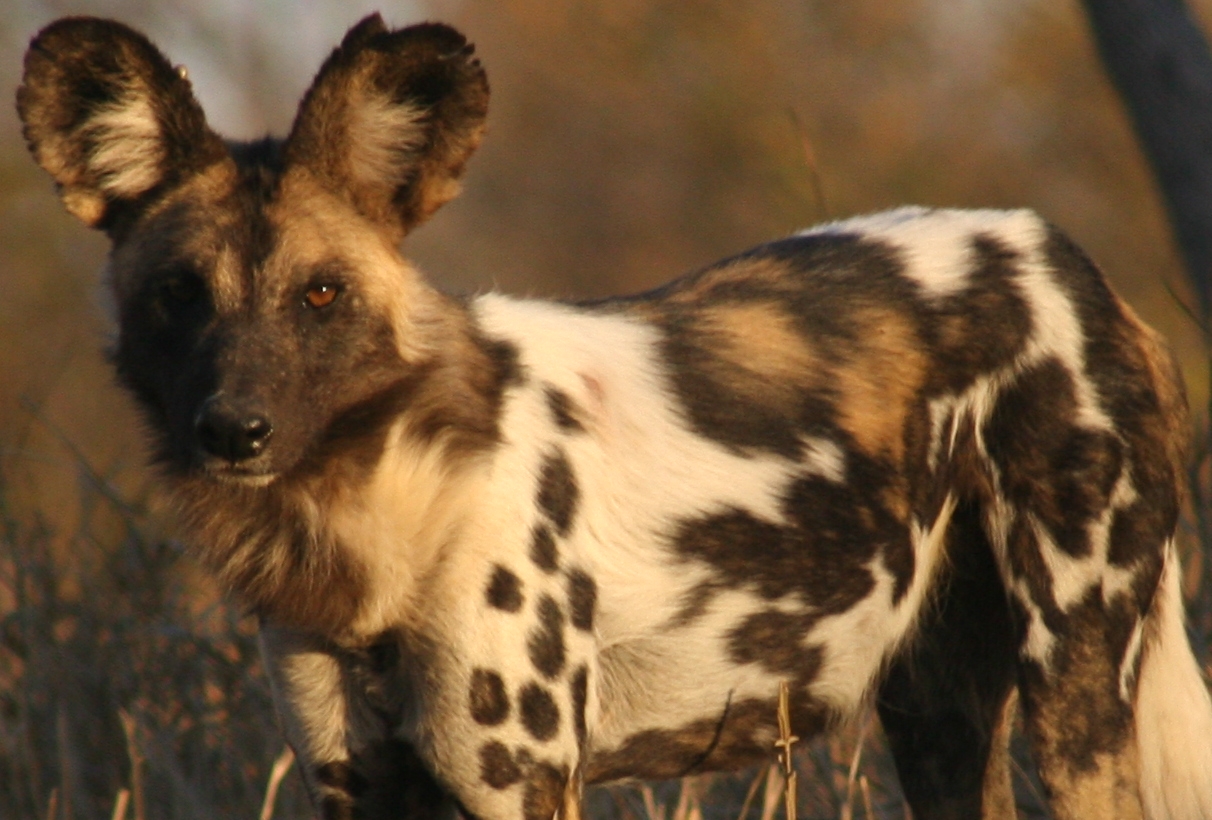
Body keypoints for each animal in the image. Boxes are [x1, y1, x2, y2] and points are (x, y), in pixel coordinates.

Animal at [16, 12, 1212, 818]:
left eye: (320, 295)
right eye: (180, 295)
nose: (236, 430)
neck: (374, 513)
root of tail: (1063, 255)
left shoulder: (518, 782)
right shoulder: (357, 780)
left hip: (1075, 696)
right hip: (938, 719)